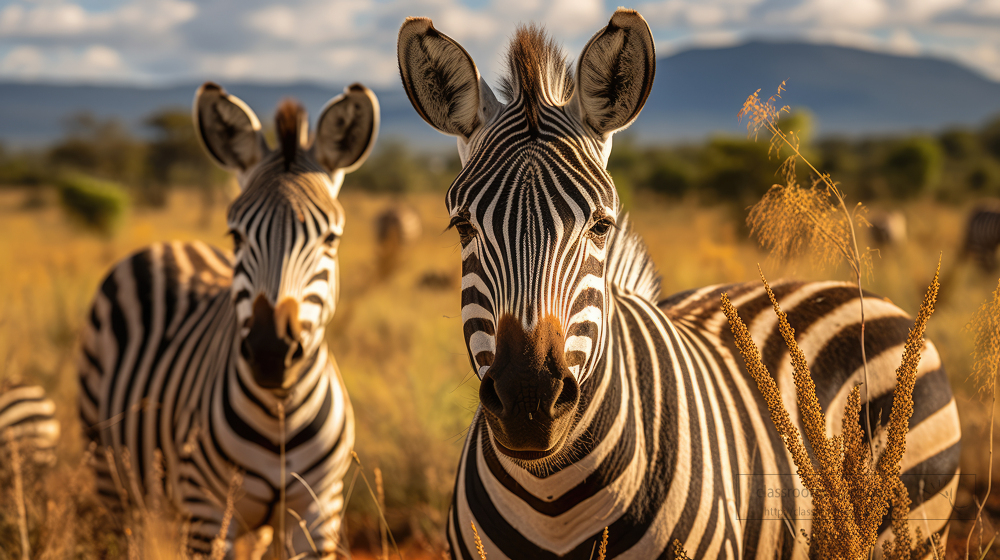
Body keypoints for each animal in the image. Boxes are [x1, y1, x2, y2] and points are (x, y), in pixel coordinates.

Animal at [78, 80, 378, 556]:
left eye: (331, 238)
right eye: (236, 235)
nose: (272, 353)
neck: (280, 412)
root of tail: (169, 243)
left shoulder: (319, 511)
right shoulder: (207, 511)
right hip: (110, 468)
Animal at [396, 9, 960, 560]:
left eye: (601, 226)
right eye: (462, 226)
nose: (528, 402)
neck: (550, 497)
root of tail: (856, 292)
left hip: (913, 526)